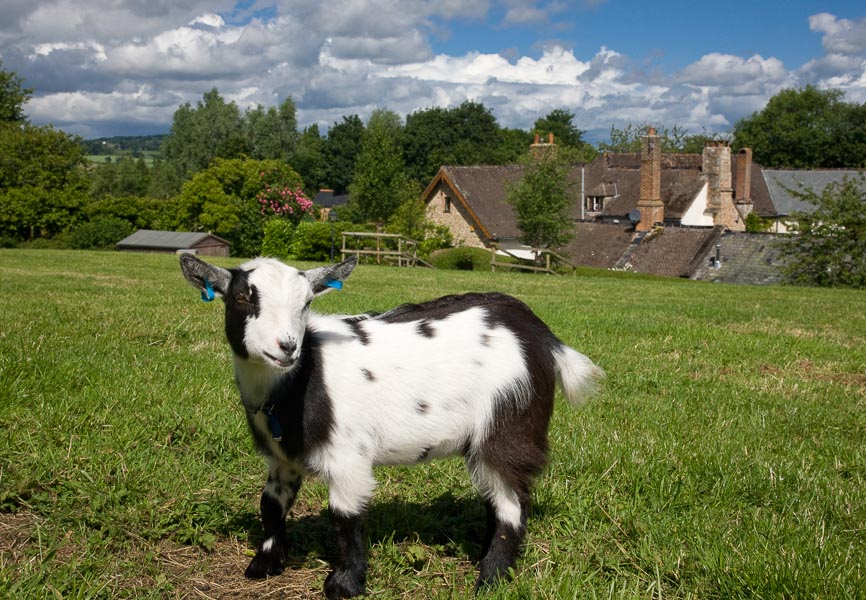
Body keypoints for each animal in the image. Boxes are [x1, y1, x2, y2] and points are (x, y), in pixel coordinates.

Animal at [181, 254, 600, 600]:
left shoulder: (348, 457)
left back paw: (489, 579)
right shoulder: (282, 458)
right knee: (495, 499)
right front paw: (264, 564)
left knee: (513, 505)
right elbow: (271, 505)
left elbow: (345, 518)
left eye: (307, 303)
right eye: (241, 298)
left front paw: (344, 585)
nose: (286, 347)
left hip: (509, 423)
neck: (301, 378)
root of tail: (541, 335)